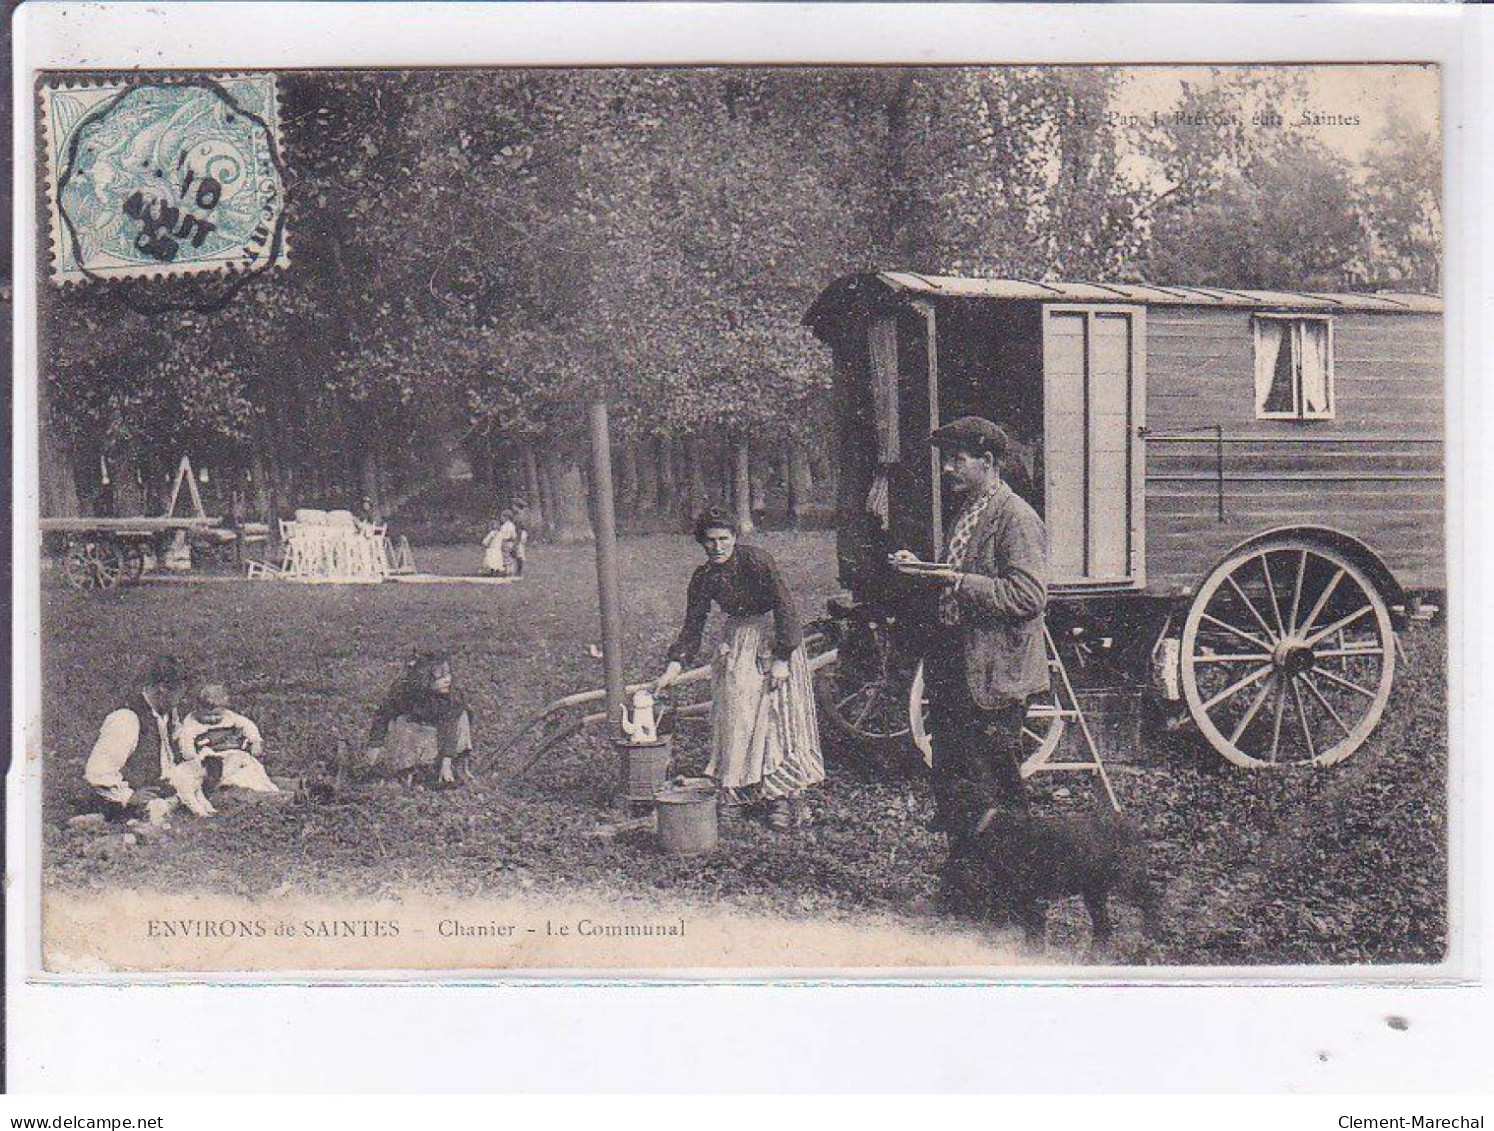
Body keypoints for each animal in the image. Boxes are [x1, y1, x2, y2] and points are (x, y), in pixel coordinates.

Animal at [944, 800, 1165, 950]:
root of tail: (1133, 827)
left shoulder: (1033, 901)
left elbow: (1034, 936)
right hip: (1094, 892)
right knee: (1104, 926)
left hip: (1129, 881)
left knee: (1151, 902)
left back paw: (1151, 937)